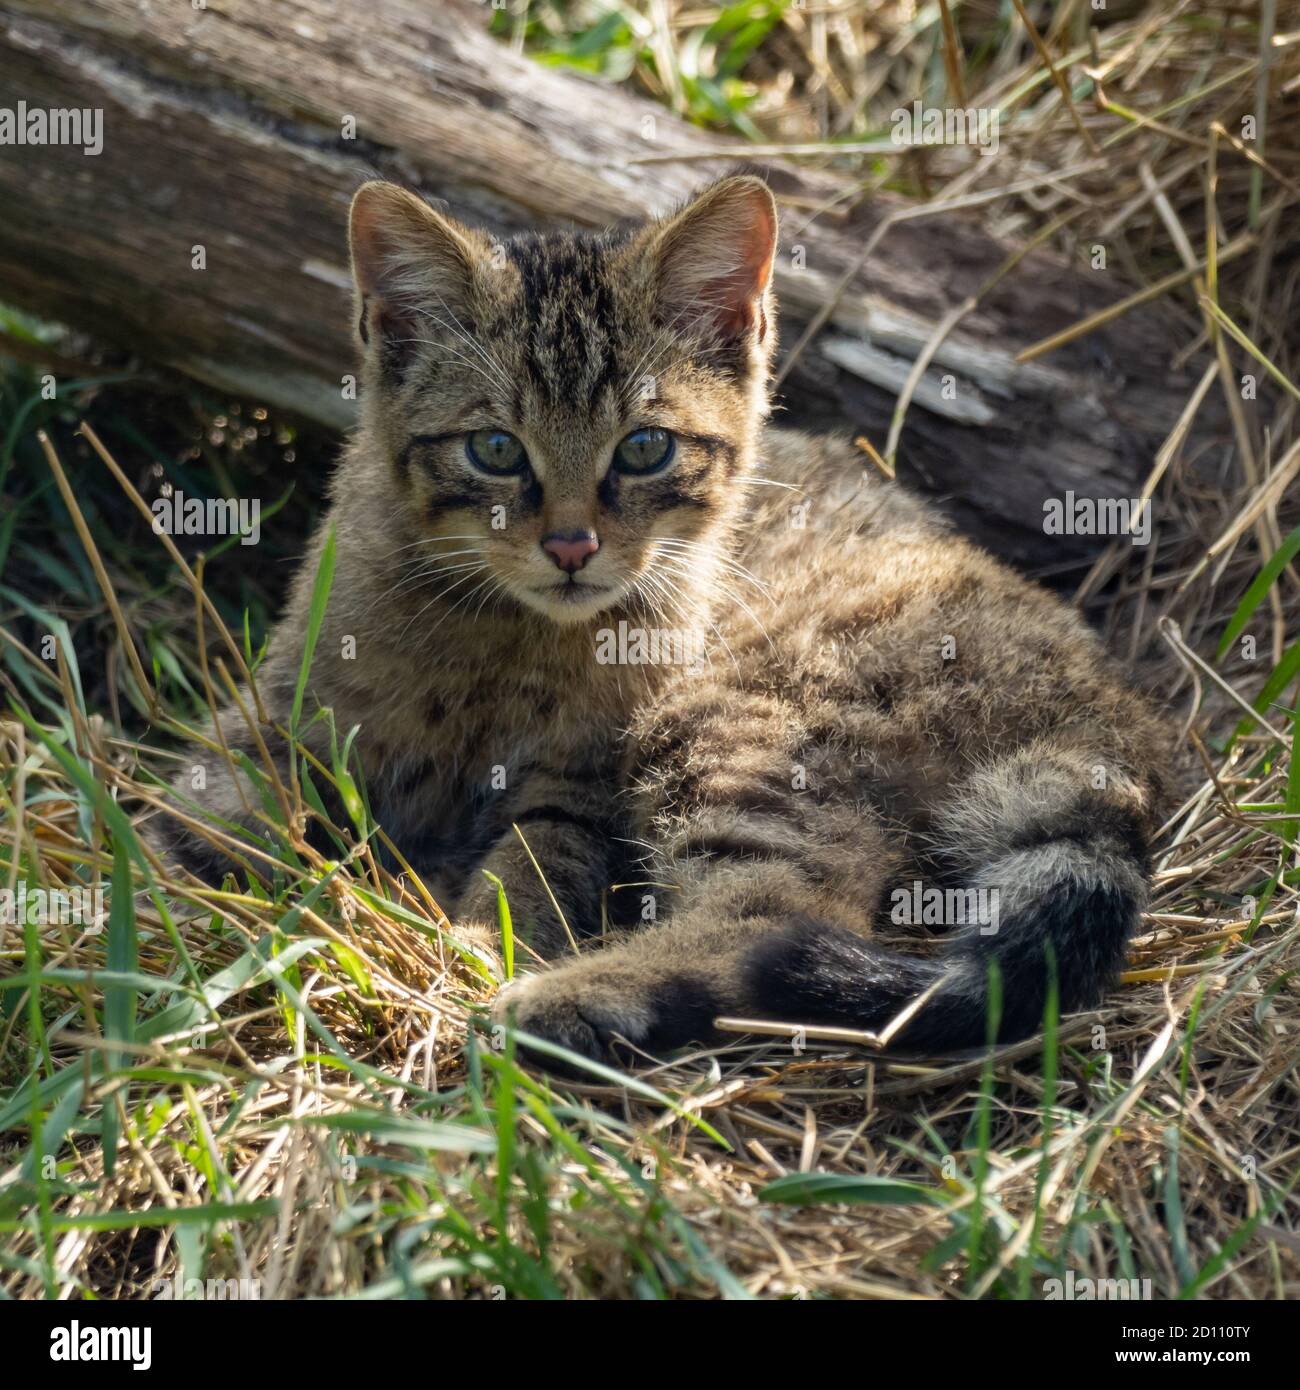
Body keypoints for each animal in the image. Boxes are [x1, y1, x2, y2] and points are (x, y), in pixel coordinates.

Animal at [157, 176, 1173, 1061]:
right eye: (495, 450)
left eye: (644, 448)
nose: (571, 545)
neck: (500, 638)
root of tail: (1111, 711)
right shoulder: (272, 714)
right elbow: (202, 811)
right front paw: (215, 902)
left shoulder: (581, 786)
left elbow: (532, 870)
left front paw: (473, 945)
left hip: (738, 723)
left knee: (772, 916)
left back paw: (565, 1000)